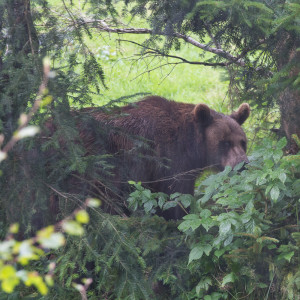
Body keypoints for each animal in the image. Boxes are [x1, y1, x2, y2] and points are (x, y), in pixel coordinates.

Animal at [75, 96, 251, 220]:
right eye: (225, 143)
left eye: (243, 142)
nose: (242, 164)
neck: (192, 147)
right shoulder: (170, 162)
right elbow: (176, 199)